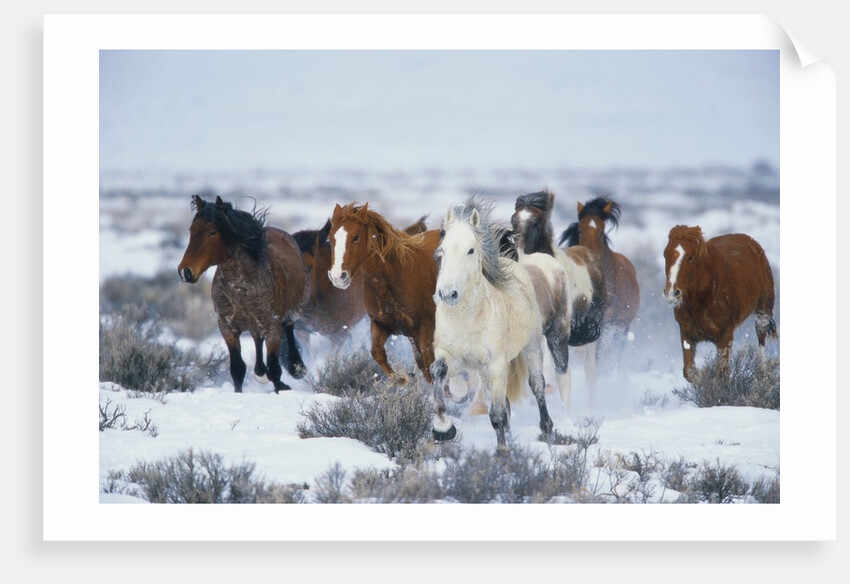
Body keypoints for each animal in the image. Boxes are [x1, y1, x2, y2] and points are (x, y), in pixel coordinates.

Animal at [178, 195, 309, 393]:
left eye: (212, 232)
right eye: (192, 230)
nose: (185, 271)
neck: (240, 289)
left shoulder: (272, 327)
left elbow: (274, 370)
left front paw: (282, 388)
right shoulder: (227, 327)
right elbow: (237, 369)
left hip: (291, 310)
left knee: (289, 327)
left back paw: (297, 367)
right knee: (257, 339)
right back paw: (260, 372)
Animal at [327, 203, 441, 384]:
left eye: (355, 237)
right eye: (330, 238)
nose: (338, 277)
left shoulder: (426, 328)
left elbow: (429, 364)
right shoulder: (381, 324)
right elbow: (377, 353)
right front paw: (400, 379)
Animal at [430, 196, 554, 450]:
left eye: (470, 250)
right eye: (442, 251)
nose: (447, 294)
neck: (467, 320)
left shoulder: (496, 365)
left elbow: (496, 415)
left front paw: (502, 452)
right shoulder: (451, 356)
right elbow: (437, 371)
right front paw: (443, 428)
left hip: (531, 347)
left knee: (537, 385)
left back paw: (547, 429)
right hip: (485, 371)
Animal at [663, 225, 778, 382]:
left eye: (691, 257)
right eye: (665, 255)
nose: (672, 292)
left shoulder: (725, 336)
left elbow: (722, 374)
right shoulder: (686, 333)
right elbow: (689, 372)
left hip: (764, 310)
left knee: (761, 335)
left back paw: (763, 374)